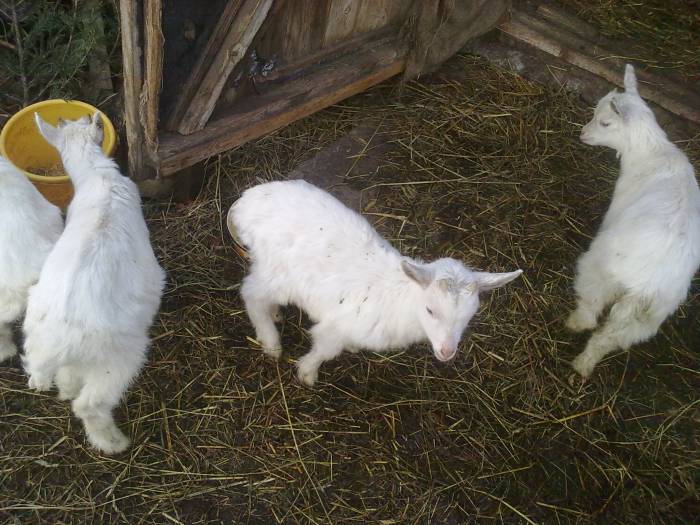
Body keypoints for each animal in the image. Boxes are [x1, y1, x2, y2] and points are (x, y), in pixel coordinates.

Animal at [24, 112, 165, 454]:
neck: (96, 176)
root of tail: (53, 347)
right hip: (116, 360)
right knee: (88, 405)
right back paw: (114, 443)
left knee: (63, 381)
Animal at [228, 179, 522, 386]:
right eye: (430, 310)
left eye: (469, 316)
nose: (447, 351)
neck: (401, 301)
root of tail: (246, 203)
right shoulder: (336, 328)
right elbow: (324, 351)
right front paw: (307, 372)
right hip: (278, 273)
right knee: (251, 293)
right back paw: (270, 342)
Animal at [567, 64, 700, 377]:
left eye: (605, 123)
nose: (583, 134)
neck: (650, 153)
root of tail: (645, 286)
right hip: (650, 317)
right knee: (610, 337)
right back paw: (584, 364)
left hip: (602, 269)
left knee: (591, 308)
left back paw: (575, 323)